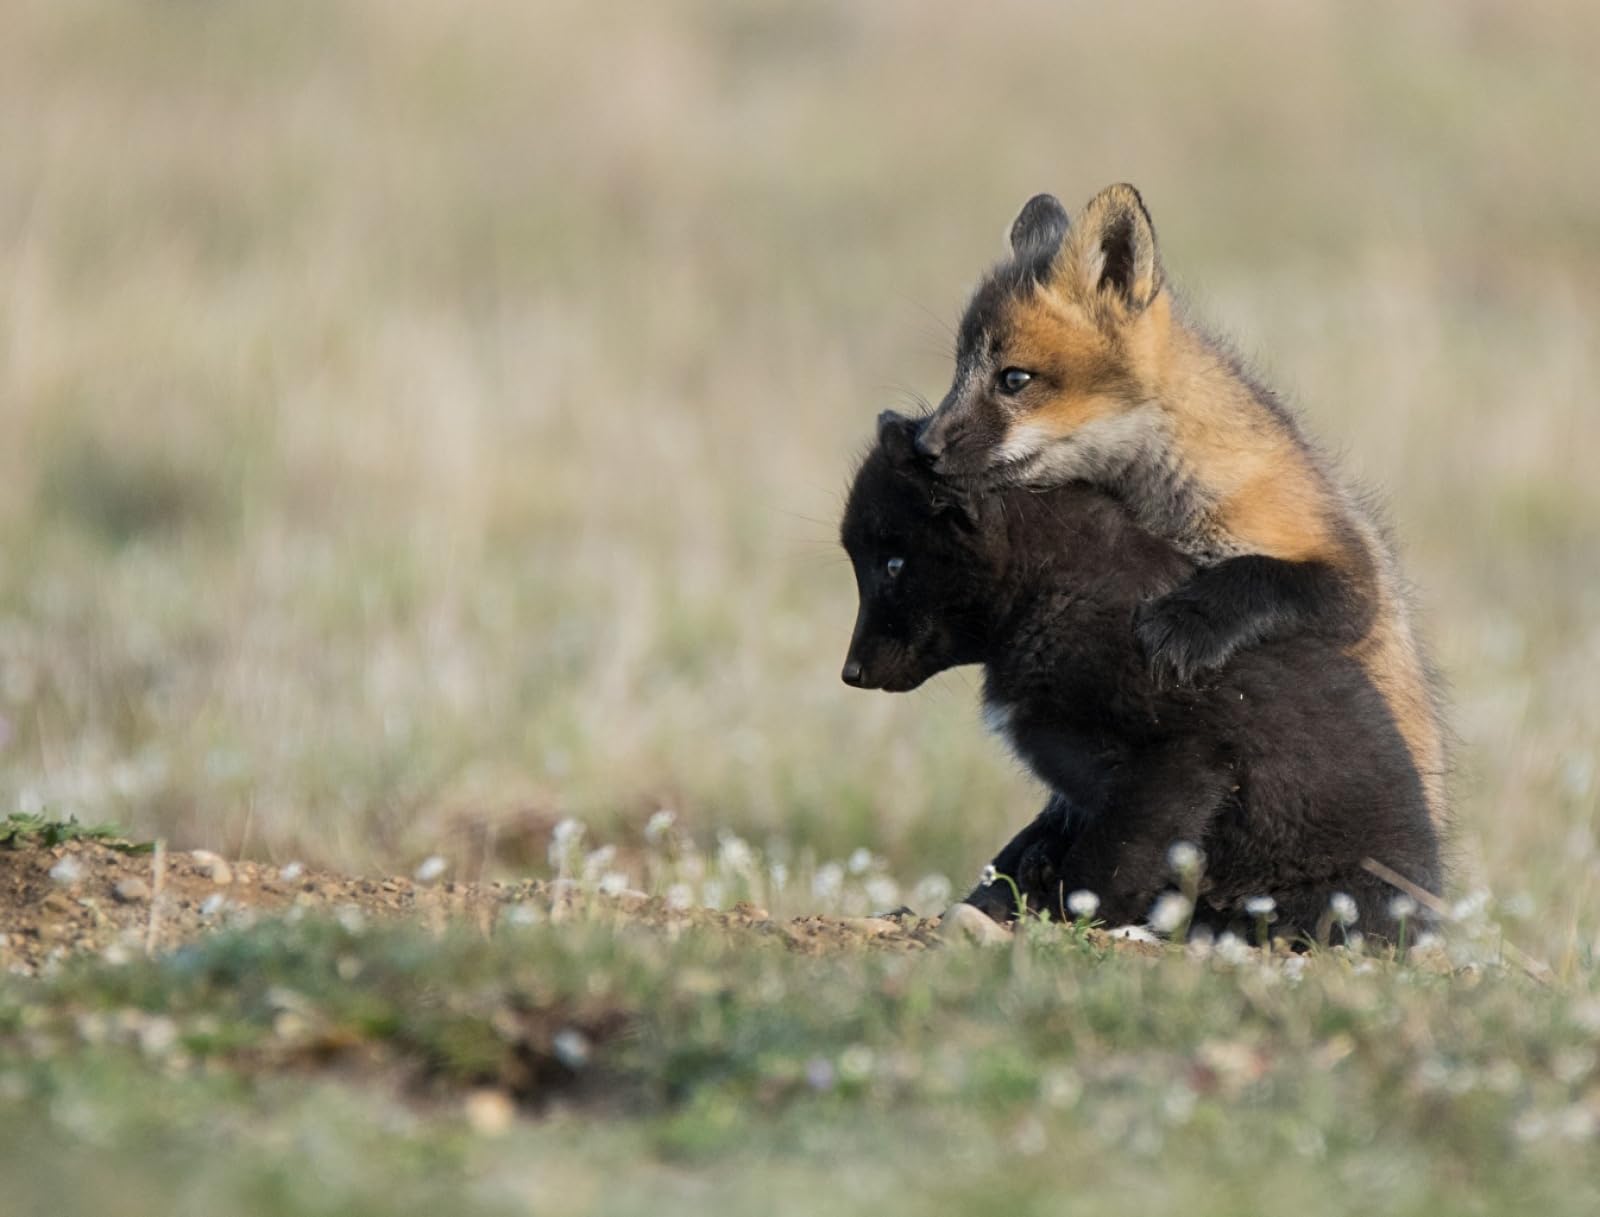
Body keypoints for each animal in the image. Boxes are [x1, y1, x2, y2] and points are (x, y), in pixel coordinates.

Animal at [840, 412, 1441, 942]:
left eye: (892, 564)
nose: (851, 673)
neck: (1054, 589)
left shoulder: (1179, 760)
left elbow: (1108, 864)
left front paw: (1063, 919)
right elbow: (1029, 848)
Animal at [913, 185, 1448, 830]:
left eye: (1014, 379)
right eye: (957, 372)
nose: (922, 447)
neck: (1163, 504)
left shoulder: (1349, 577)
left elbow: (1260, 576)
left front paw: (1188, 624)